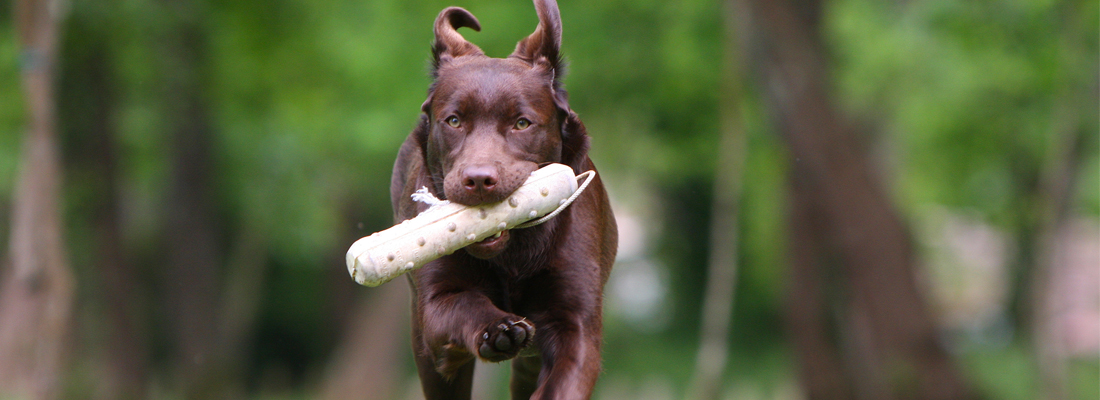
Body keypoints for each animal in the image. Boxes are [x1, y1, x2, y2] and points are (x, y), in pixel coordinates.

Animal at [387, 1, 616, 397]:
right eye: (453, 120)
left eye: (522, 123)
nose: (478, 180)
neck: (513, 254)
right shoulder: (435, 304)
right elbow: (465, 302)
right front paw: (500, 330)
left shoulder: (576, 322)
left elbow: (563, 381)